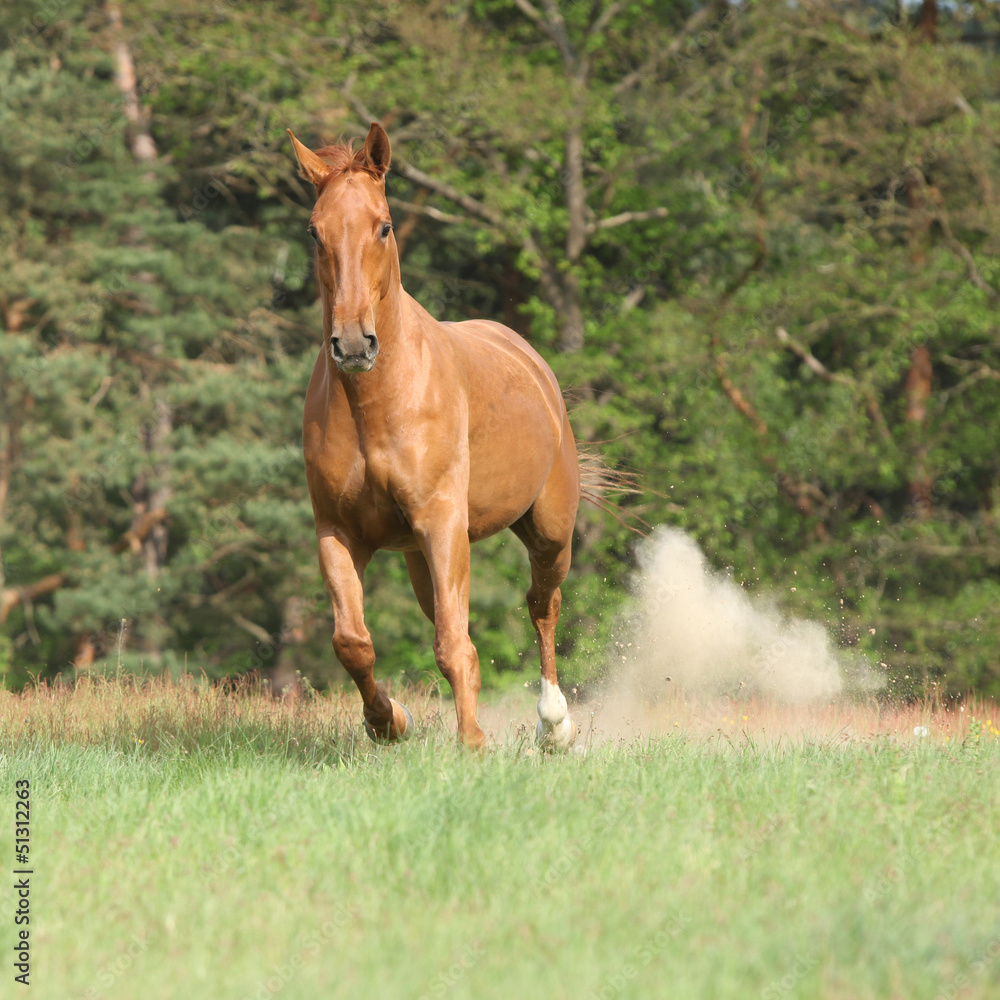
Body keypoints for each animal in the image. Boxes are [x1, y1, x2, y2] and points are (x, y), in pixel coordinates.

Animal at [290, 121, 580, 752]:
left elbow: (454, 644)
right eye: (315, 231)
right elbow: (353, 643)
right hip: (422, 559)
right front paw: (388, 722)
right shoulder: (337, 532)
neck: (377, 405)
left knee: (542, 605)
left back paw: (554, 725)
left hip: (548, 531)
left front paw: (472, 743)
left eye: (384, 225)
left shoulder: (442, 521)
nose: (354, 344)